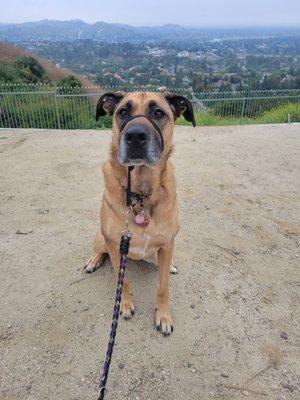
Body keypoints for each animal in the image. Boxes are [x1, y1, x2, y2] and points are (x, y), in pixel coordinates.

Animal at [85, 90, 196, 334]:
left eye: (159, 113)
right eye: (122, 112)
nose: (135, 136)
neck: (141, 193)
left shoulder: (167, 244)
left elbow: (163, 288)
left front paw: (163, 317)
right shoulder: (116, 246)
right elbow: (124, 281)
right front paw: (125, 306)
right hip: (101, 238)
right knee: (99, 249)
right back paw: (93, 261)